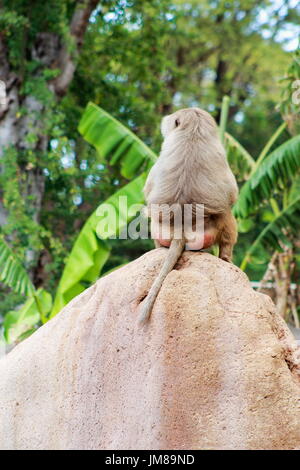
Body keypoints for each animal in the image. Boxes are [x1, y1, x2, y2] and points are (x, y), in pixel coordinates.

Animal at [139, 106, 239, 324]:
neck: (192, 131)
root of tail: (181, 227)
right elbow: (231, 195)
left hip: (164, 231)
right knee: (227, 217)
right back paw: (225, 258)